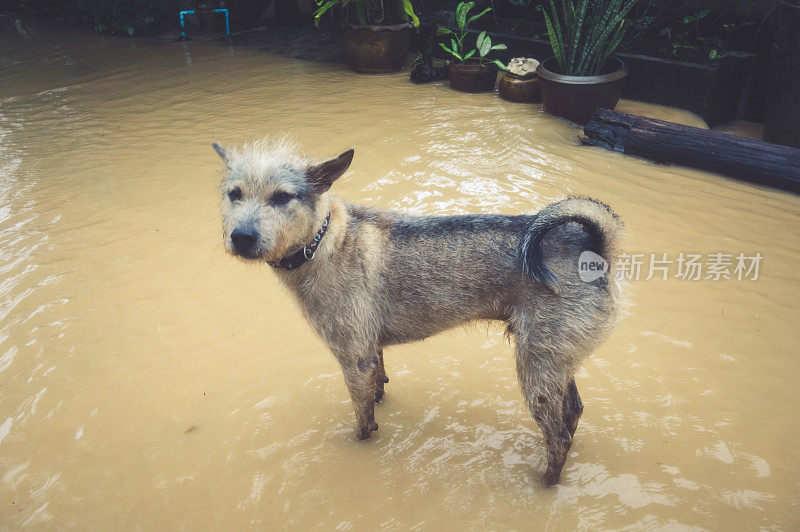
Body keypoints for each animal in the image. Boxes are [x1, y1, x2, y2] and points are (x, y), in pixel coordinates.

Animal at [214, 138, 624, 486]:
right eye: (235, 194)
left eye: (283, 197)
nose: (242, 237)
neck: (323, 240)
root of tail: (594, 245)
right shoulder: (371, 350)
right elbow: (378, 386)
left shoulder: (353, 358)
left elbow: (363, 420)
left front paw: (360, 445)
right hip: (556, 359)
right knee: (573, 411)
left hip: (537, 367)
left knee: (558, 434)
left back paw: (546, 482)